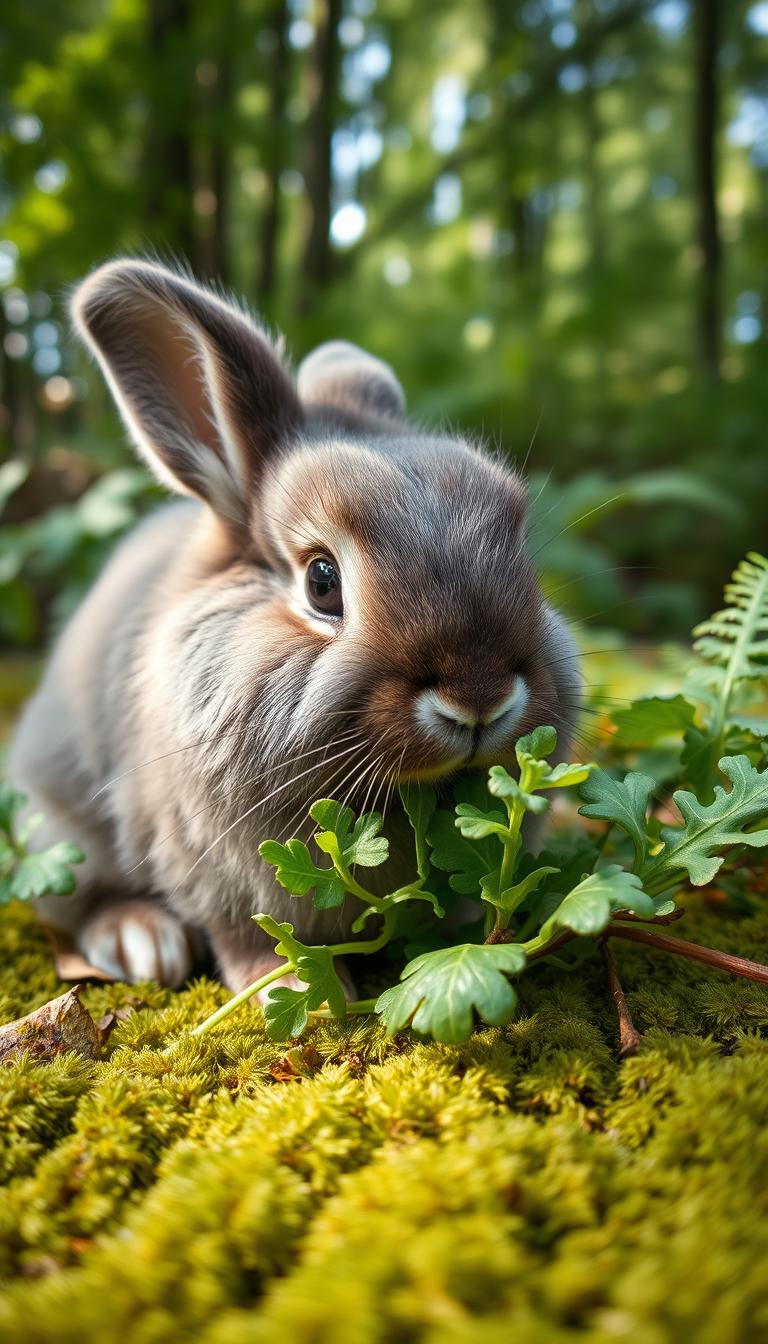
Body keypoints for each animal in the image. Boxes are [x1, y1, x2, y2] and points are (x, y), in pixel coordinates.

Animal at [8, 259, 581, 993]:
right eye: (322, 583)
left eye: (520, 545)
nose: (479, 700)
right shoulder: (211, 866)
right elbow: (249, 937)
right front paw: (295, 987)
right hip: (57, 829)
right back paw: (140, 940)